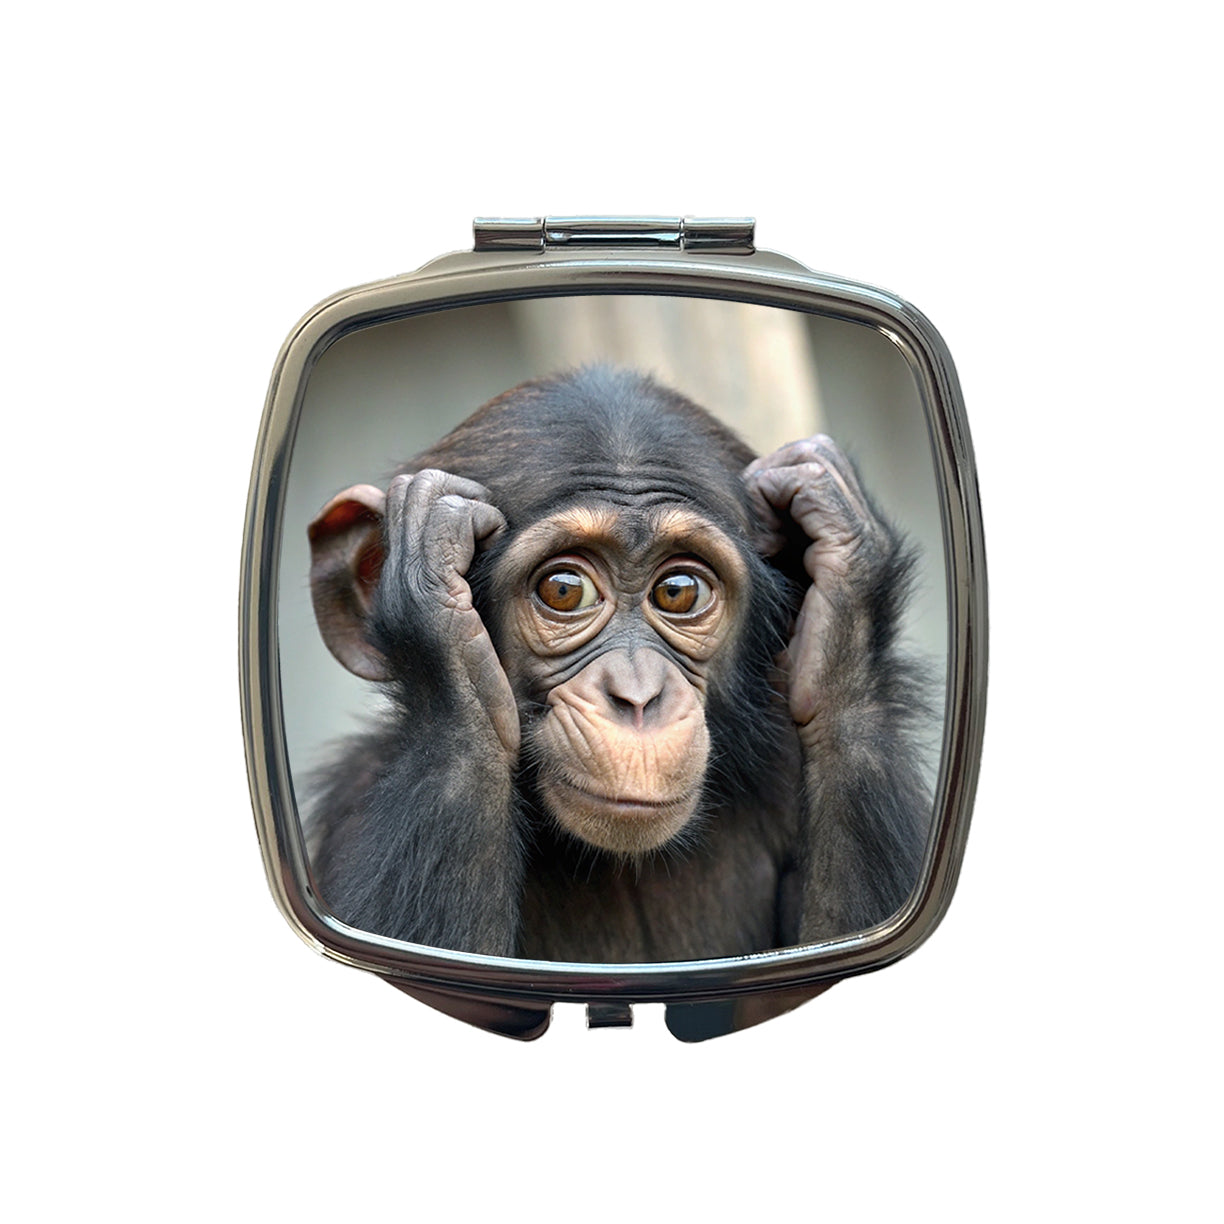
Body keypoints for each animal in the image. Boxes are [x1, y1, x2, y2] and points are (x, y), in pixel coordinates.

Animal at [305, 365, 930, 963]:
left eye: (678, 591)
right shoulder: (351, 806)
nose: (636, 696)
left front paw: (846, 548)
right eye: (563, 589)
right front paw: (432, 586)